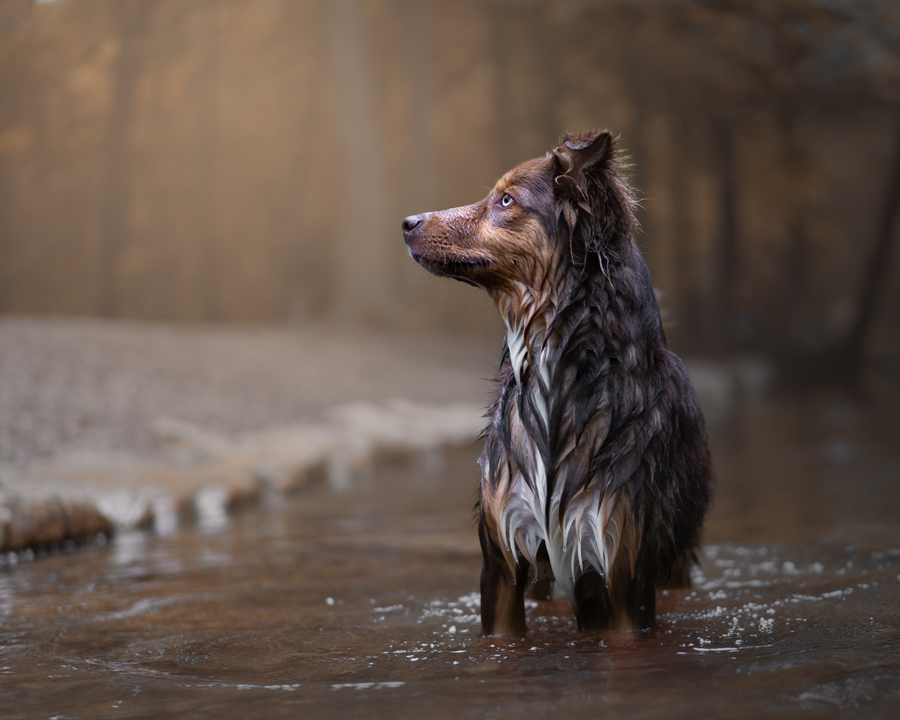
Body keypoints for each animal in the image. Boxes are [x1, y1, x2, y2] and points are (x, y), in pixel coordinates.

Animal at [402, 131, 712, 636]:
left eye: (506, 200)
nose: (407, 223)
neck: (558, 376)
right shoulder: (504, 561)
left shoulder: (624, 569)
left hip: (675, 557)